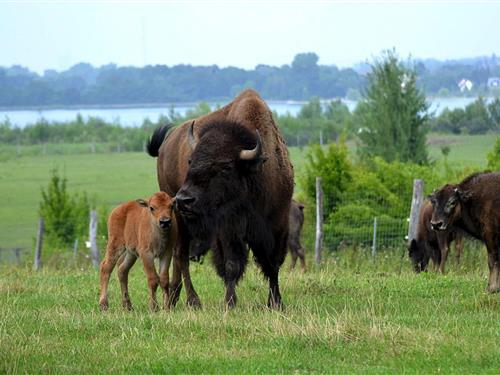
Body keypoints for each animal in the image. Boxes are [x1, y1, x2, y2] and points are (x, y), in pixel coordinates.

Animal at [146, 90, 294, 308]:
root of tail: (166, 145)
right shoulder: (227, 231)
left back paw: (173, 297)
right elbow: (231, 265)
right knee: (181, 255)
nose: (183, 199)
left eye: (225, 167)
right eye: (190, 160)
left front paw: (276, 302)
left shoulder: (277, 225)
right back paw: (193, 300)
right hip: (179, 219)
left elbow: (272, 264)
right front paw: (230, 302)